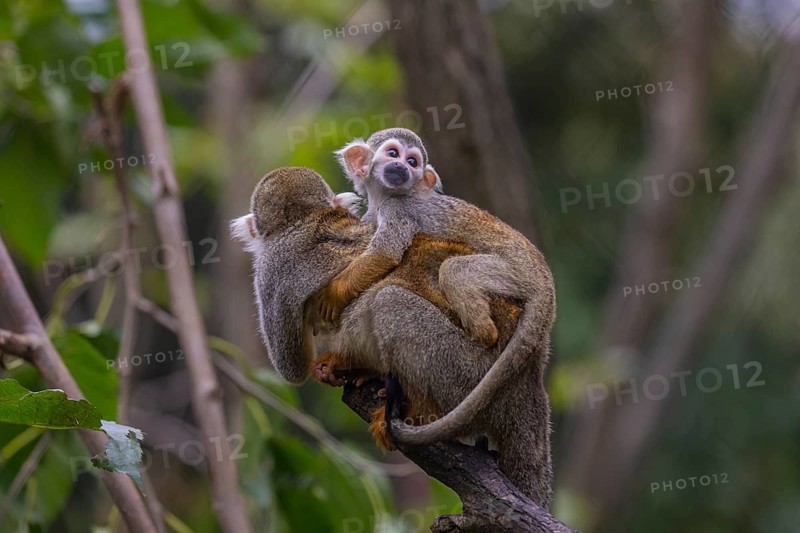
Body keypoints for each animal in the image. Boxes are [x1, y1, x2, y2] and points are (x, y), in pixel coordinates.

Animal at [231, 166, 553, 506]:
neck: (309, 220)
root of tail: (529, 378)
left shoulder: (269, 271)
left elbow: (291, 366)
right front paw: (344, 366)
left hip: (468, 373)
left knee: (390, 302)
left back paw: (422, 413)